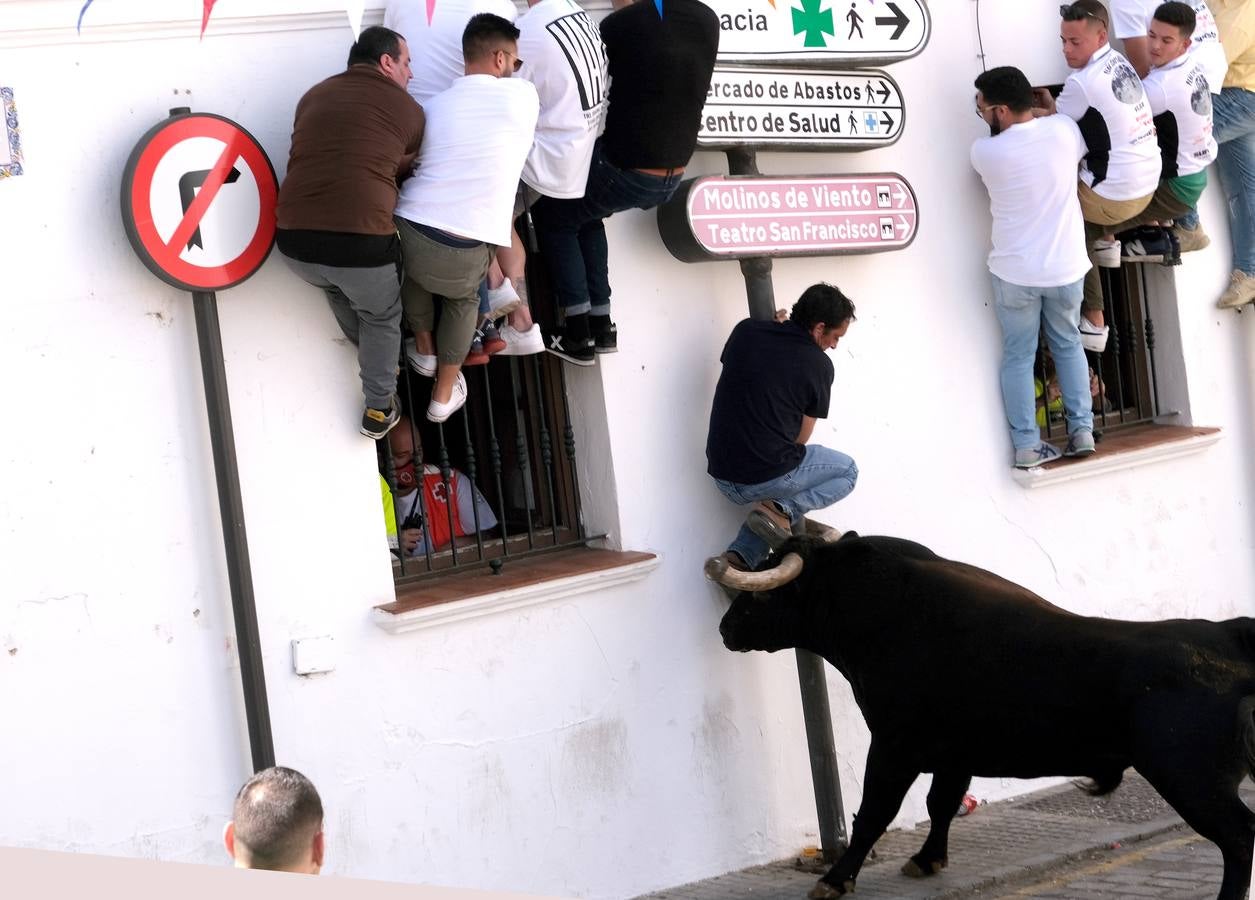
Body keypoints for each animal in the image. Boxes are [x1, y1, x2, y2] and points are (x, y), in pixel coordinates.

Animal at [717, 534, 1255, 898]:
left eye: (764, 592)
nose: (726, 627)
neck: (879, 611)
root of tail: (1228, 635)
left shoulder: (893, 745)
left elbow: (874, 813)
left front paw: (835, 879)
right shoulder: (956, 753)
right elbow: (941, 804)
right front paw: (928, 859)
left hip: (1192, 781)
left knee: (1238, 836)